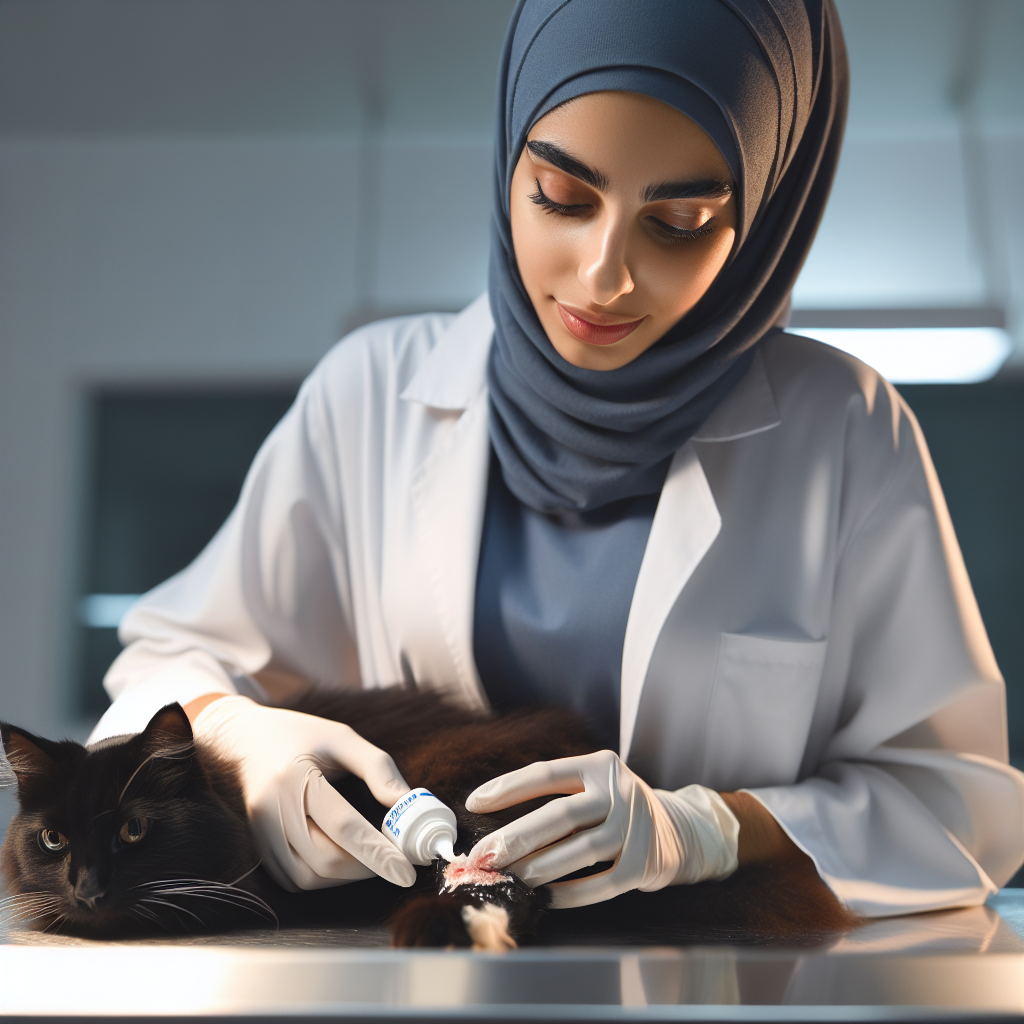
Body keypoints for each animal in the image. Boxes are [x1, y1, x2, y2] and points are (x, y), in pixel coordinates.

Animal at [0, 692, 860, 946]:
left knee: (514, 886)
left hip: (474, 782)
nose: (87, 887)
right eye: (53, 839)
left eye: (134, 832)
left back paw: (451, 924)